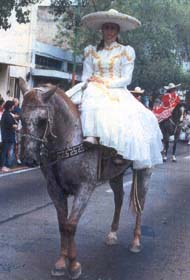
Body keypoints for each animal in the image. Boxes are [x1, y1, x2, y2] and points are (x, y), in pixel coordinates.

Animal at [18, 77, 153, 278]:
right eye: (20, 117)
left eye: (42, 120)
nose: (28, 158)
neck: (68, 142)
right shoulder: (54, 190)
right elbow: (62, 224)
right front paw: (61, 263)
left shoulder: (85, 188)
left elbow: (71, 225)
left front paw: (74, 265)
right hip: (116, 175)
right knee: (119, 199)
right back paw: (112, 234)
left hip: (145, 171)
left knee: (141, 204)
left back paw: (136, 241)